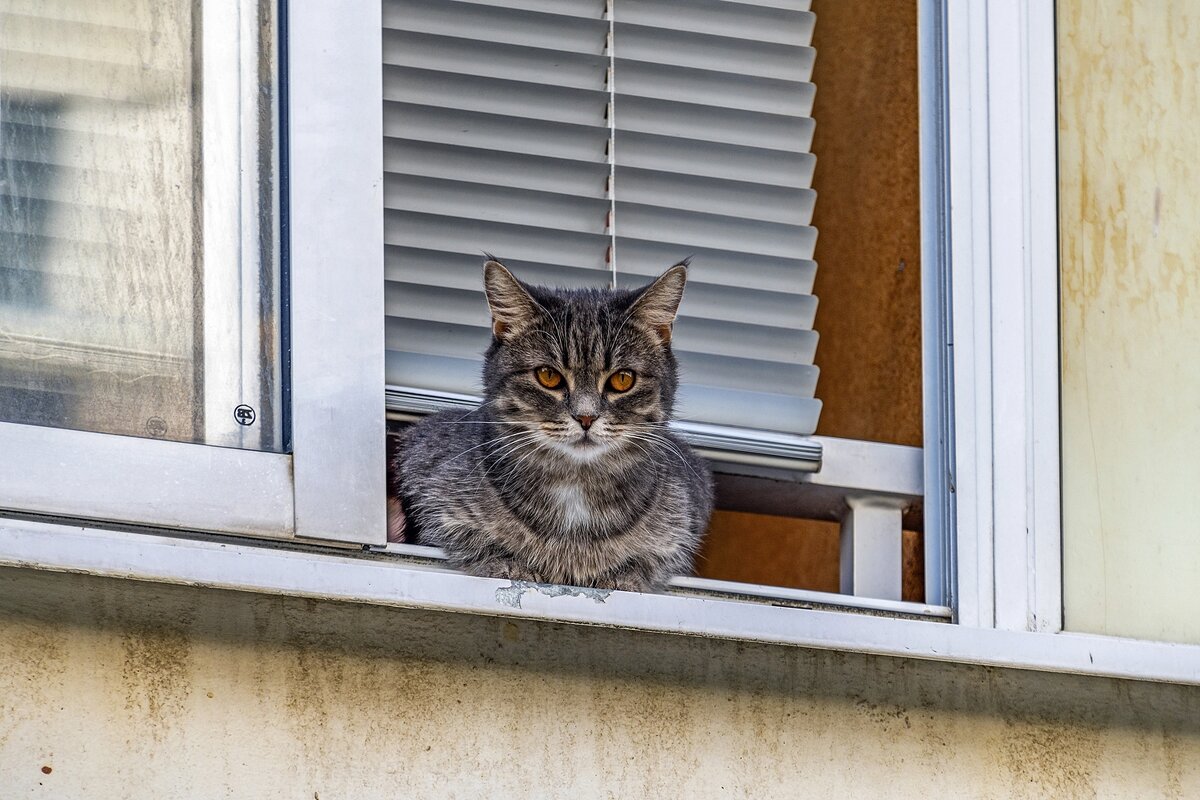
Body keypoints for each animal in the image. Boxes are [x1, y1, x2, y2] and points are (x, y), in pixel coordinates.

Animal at [393, 260, 710, 592]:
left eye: (623, 379)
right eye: (548, 376)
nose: (586, 417)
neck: (576, 490)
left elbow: (648, 561)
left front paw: (622, 577)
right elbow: (474, 540)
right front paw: (509, 564)